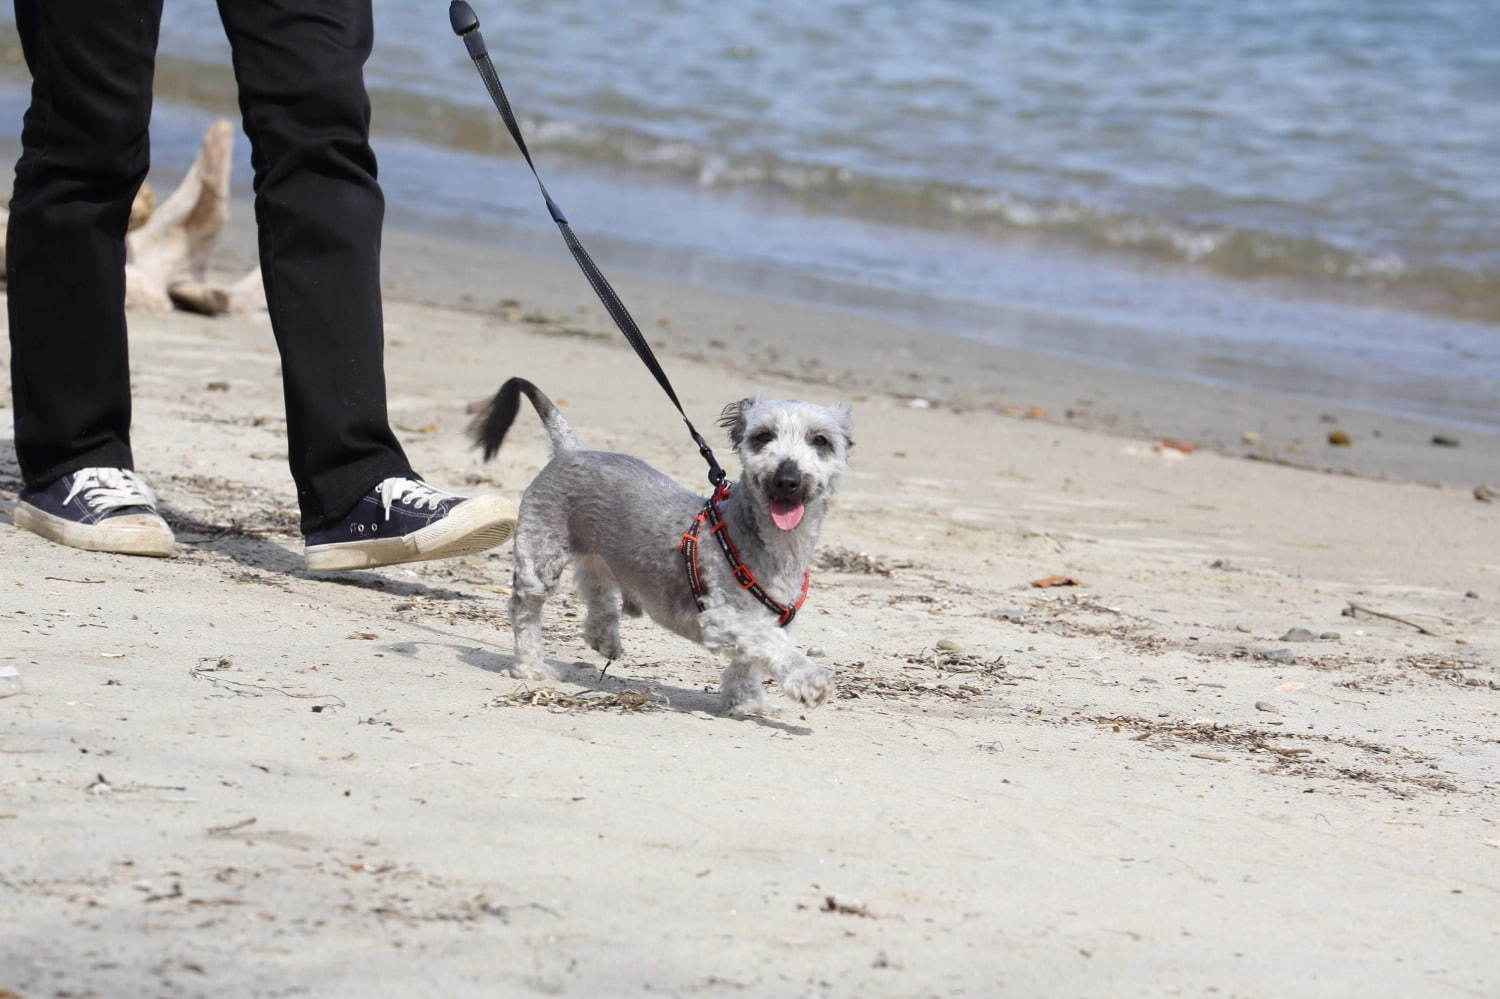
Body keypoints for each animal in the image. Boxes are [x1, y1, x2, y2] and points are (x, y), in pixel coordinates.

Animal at [468, 378, 852, 711]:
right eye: (763, 436)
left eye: (820, 440)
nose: (787, 479)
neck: (774, 545)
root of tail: (570, 449)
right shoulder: (724, 618)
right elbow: (773, 646)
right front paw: (810, 680)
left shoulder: (769, 619)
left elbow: (749, 662)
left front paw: (747, 703)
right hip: (541, 558)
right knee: (525, 610)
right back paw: (532, 666)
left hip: (597, 551)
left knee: (596, 585)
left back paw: (603, 637)